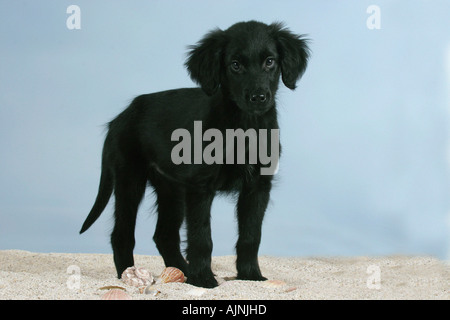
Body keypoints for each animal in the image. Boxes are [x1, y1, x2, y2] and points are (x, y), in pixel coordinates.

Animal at [80, 21, 310, 288]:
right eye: (235, 65)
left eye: (270, 61)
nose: (258, 97)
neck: (243, 127)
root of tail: (121, 117)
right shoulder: (201, 187)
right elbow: (202, 237)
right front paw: (204, 279)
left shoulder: (258, 186)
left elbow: (251, 235)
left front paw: (250, 275)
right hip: (130, 180)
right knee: (122, 233)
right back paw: (129, 274)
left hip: (171, 189)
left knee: (164, 235)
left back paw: (183, 272)